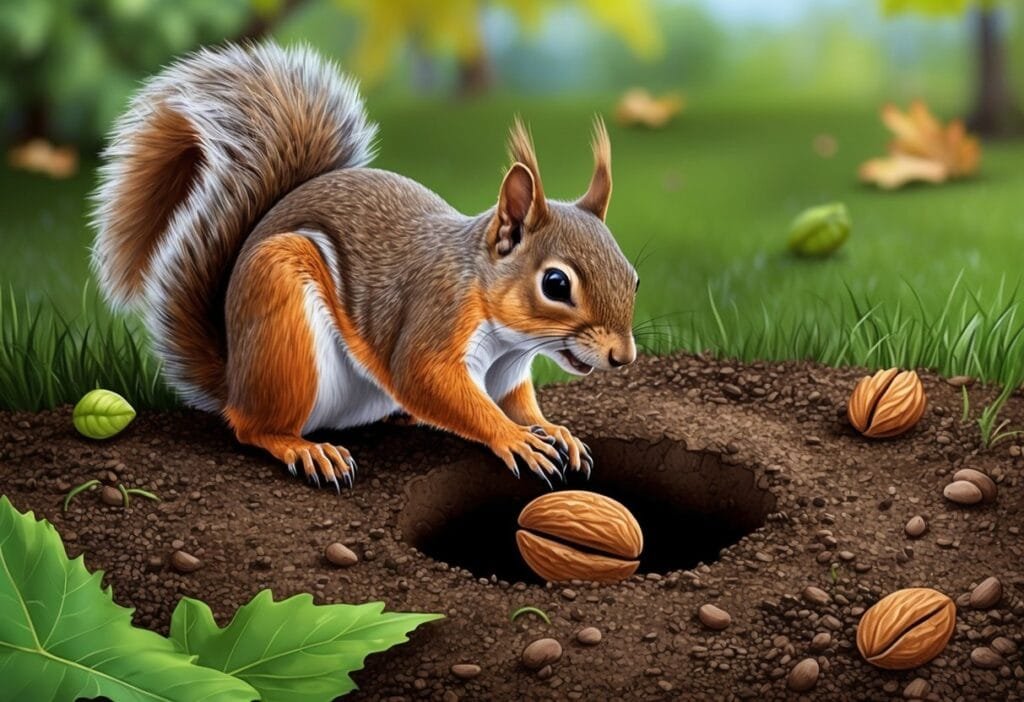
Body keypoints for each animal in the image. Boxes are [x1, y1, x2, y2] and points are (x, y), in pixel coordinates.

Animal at [91, 43, 638, 491]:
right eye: (555, 283)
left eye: (633, 277)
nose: (624, 357)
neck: (508, 335)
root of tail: (233, 377)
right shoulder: (435, 318)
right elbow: (430, 382)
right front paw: (514, 438)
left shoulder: (506, 374)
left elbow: (519, 403)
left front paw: (556, 430)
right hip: (282, 323)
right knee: (251, 426)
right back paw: (305, 449)